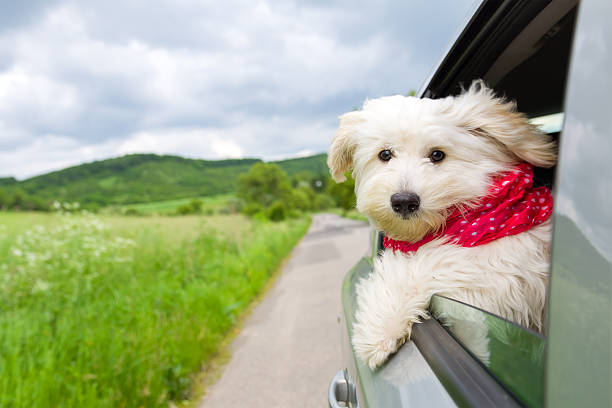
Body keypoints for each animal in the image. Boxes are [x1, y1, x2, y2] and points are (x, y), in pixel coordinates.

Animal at [328, 80, 556, 370]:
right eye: (385, 154)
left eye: (437, 155)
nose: (403, 201)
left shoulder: (509, 265)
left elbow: (434, 262)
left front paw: (378, 327)